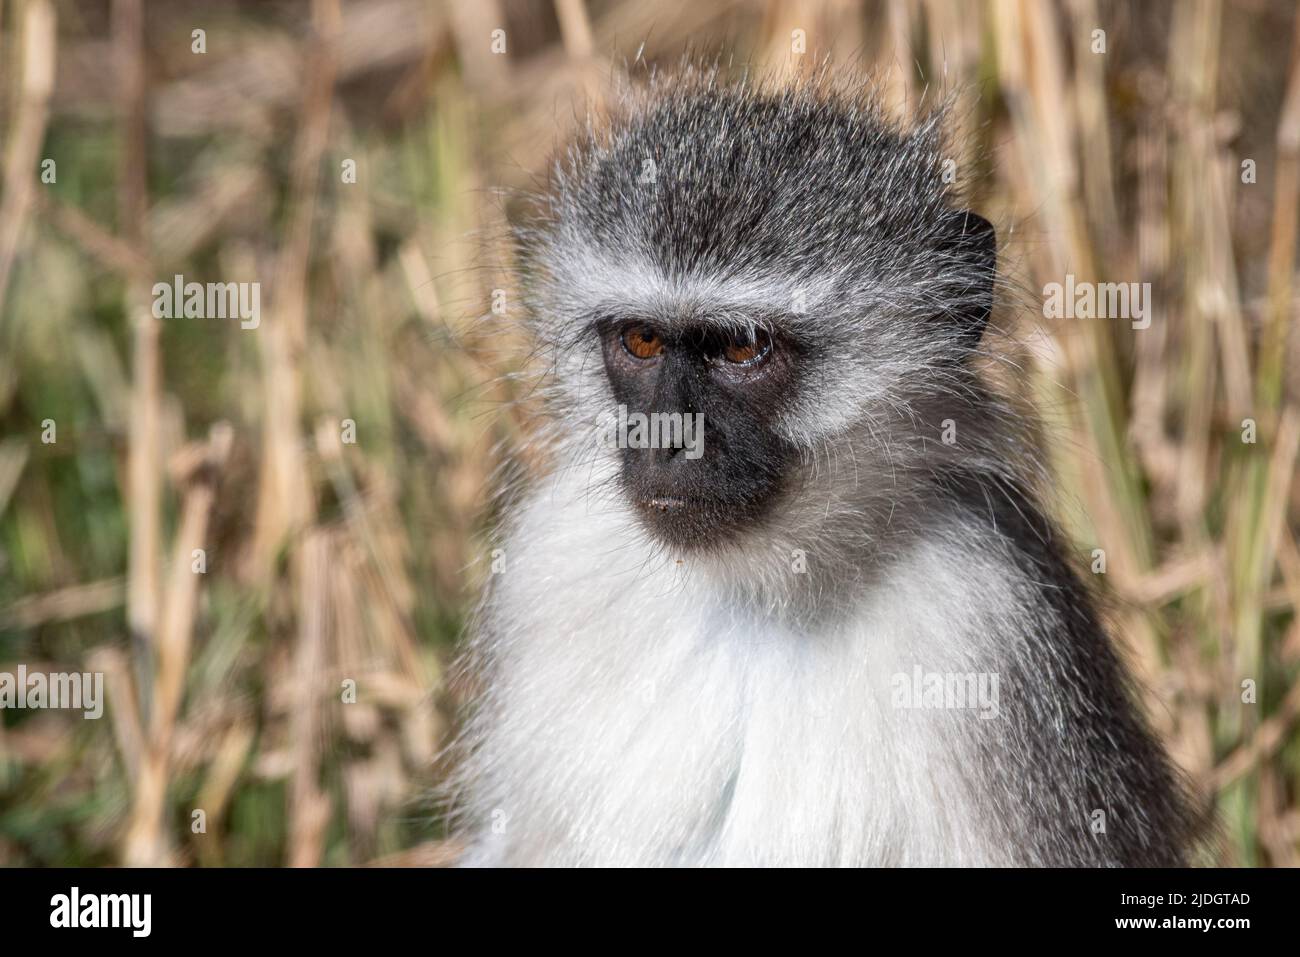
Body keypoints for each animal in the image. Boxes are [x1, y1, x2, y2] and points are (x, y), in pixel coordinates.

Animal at [448, 64, 1204, 867]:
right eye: (643, 340)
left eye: (743, 346)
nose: (668, 438)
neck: (764, 591)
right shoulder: (548, 564)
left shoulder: (992, 619)